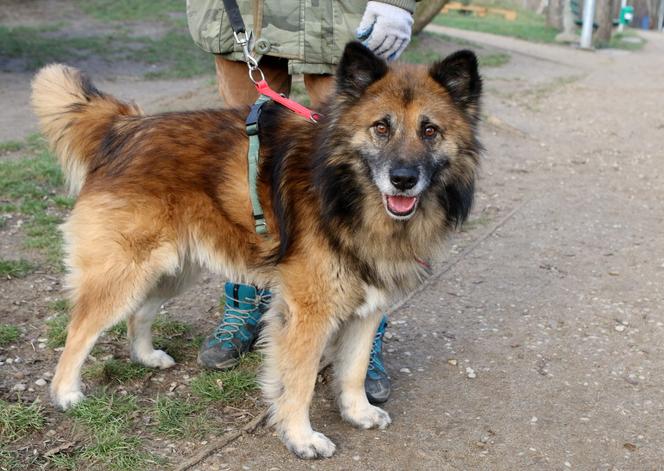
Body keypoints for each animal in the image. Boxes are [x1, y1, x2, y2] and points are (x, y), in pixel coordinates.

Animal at [32, 43, 482, 458]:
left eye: (430, 131)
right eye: (381, 128)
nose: (403, 179)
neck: (346, 192)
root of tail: (123, 126)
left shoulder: (368, 306)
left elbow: (353, 369)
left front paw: (357, 411)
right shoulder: (308, 313)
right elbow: (298, 381)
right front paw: (302, 438)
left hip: (173, 268)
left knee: (139, 313)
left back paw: (147, 357)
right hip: (126, 270)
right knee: (80, 330)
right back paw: (66, 393)